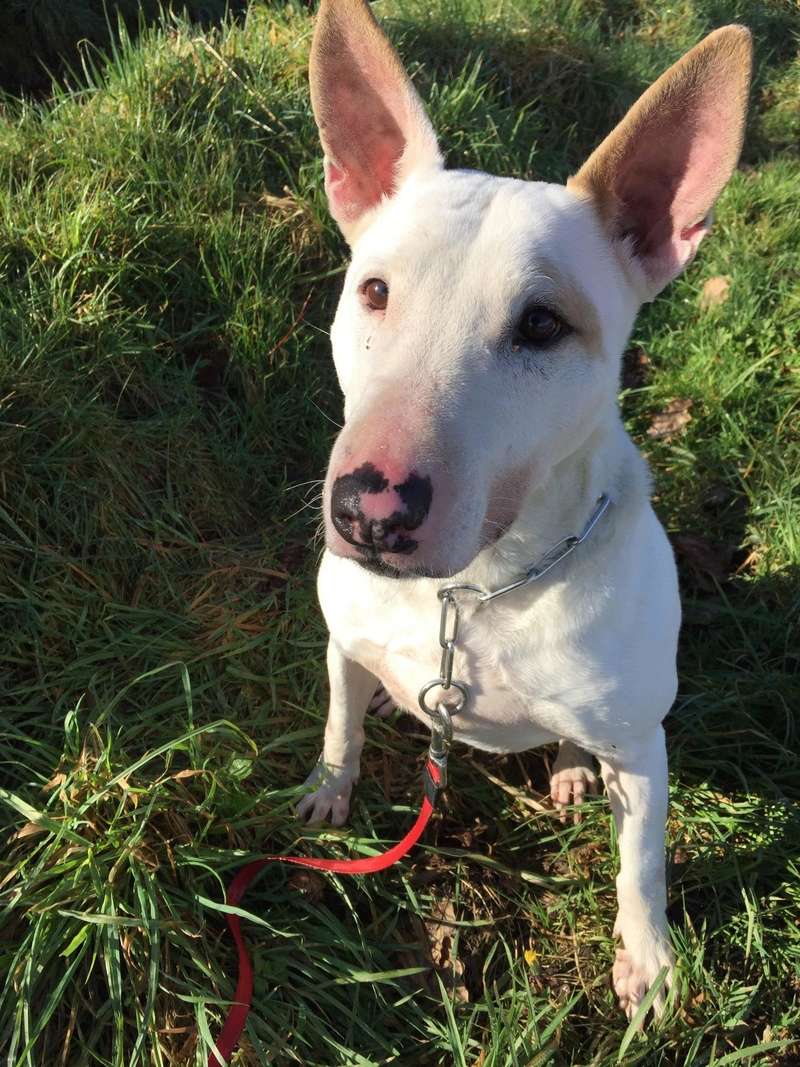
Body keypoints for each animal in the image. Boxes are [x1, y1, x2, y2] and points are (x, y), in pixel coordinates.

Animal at [298, 0, 755, 1015]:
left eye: (542, 325)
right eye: (373, 290)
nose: (370, 511)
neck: (474, 592)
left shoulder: (644, 747)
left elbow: (641, 866)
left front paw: (649, 965)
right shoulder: (344, 639)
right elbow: (341, 720)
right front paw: (327, 787)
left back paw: (573, 771)